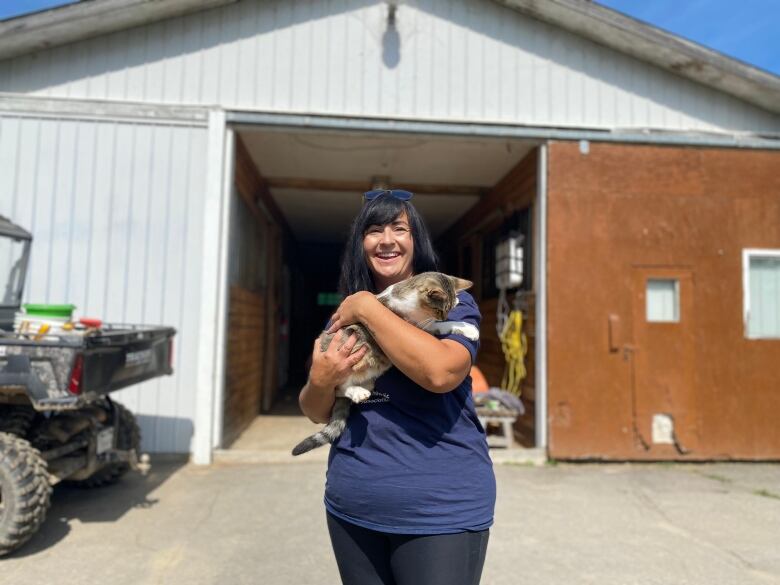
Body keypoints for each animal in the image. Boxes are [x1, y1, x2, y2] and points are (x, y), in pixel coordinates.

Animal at [290, 270, 478, 456]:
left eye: (449, 309)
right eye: (439, 310)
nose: (445, 315)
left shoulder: (423, 325)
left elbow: (440, 326)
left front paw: (465, 327)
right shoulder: (413, 326)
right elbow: (440, 325)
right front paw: (466, 328)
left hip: (371, 376)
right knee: (338, 387)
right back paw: (357, 392)